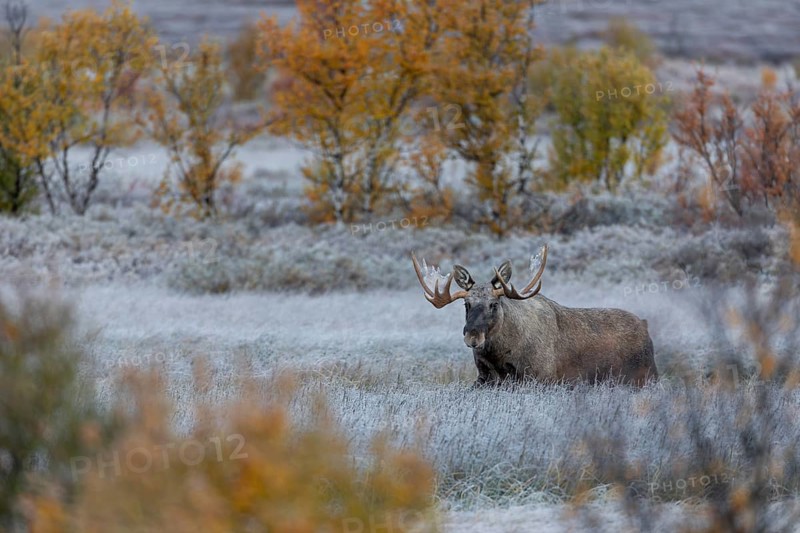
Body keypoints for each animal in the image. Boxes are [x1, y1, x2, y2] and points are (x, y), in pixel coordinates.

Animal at [411, 244, 658, 387]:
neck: (500, 355)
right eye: (466, 304)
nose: (473, 336)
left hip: (645, 377)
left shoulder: (543, 378)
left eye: (494, 303)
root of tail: (645, 326)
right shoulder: (484, 378)